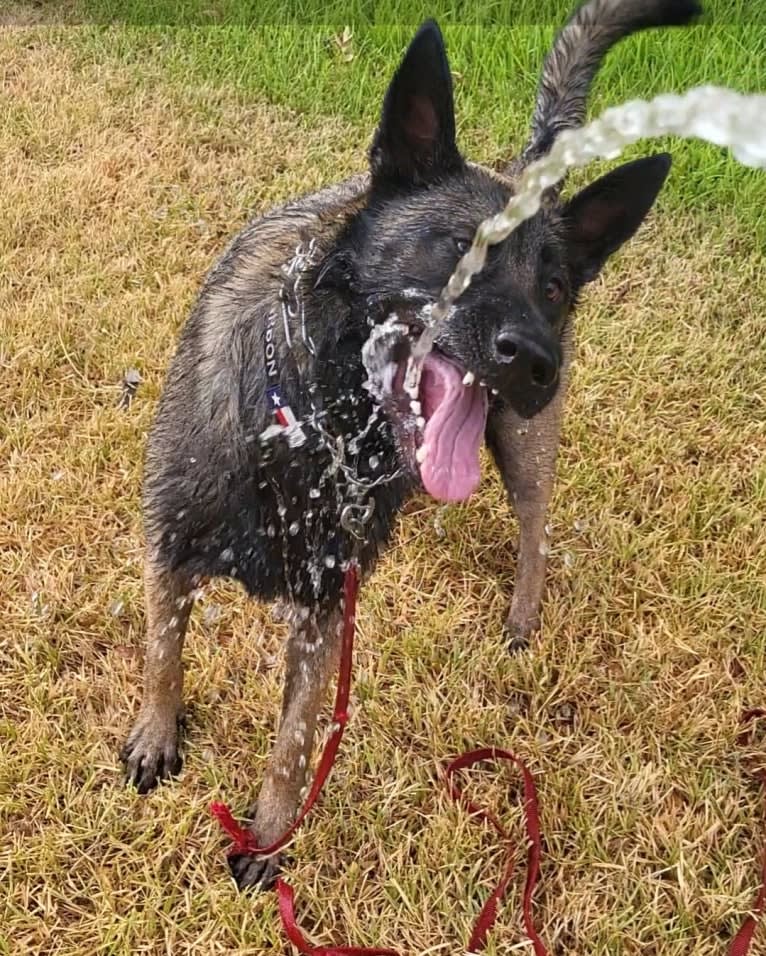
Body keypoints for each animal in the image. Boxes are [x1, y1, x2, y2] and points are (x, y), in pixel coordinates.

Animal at [123, 0, 704, 888]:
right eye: (463, 247)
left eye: (555, 286)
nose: (537, 360)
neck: (316, 426)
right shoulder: (169, 544)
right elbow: (163, 653)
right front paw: (158, 735)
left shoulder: (325, 613)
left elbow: (293, 744)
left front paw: (269, 838)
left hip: (526, 445)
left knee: (535, 530)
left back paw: (522, 615)